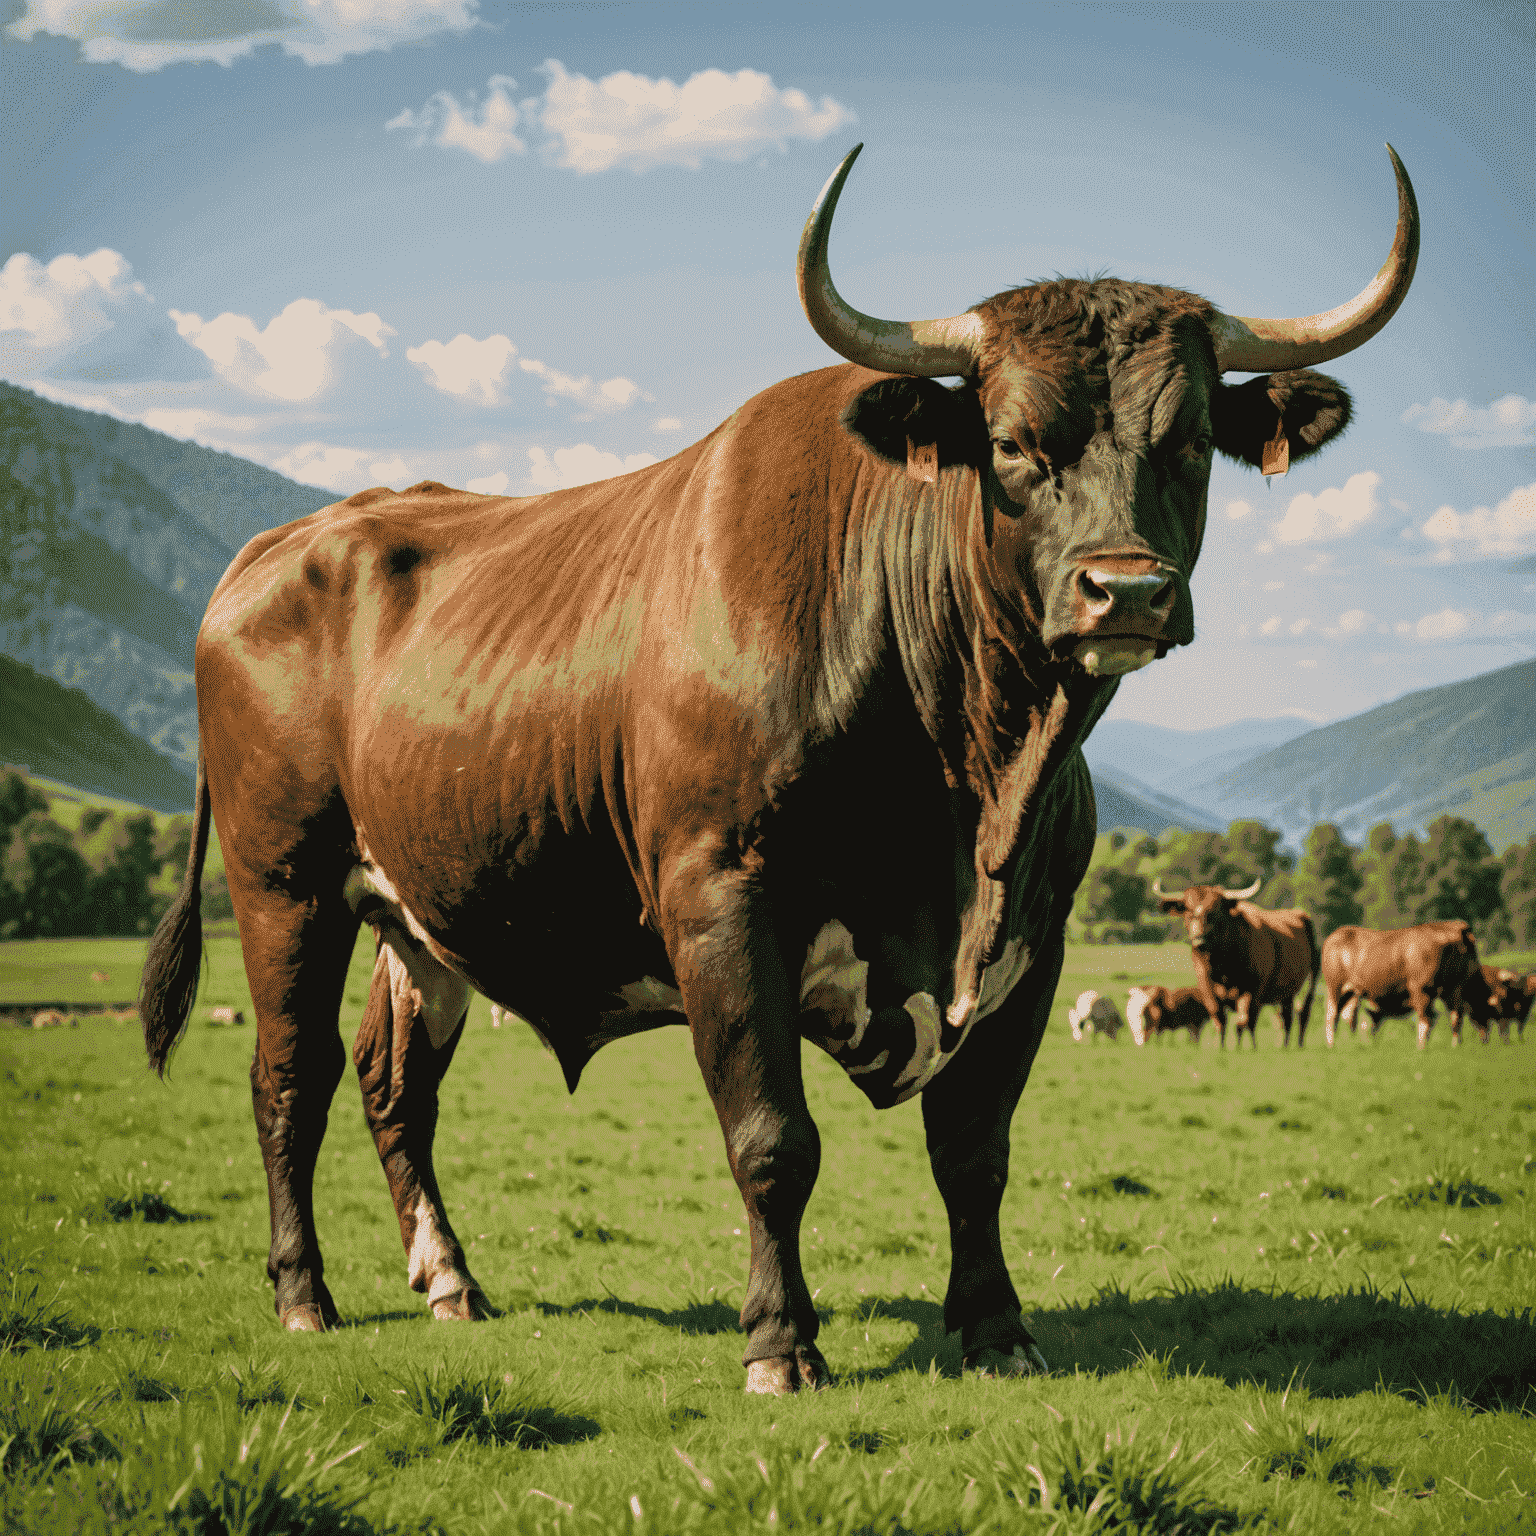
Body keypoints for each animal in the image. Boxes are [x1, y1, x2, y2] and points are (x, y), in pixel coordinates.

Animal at [1155, 884, 1320, 1050]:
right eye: (1188, 911)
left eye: (1214, 912)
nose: (1199, 941)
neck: (1223, 967)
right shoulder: (1207, 988)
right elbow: (1219, 1019)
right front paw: (1220, 1046)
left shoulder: (1252, 990)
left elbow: (1245, 1020)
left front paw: (1248, 1047)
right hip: (1284, 992)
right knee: (1284, 1017)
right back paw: (1282, 1045)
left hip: (1311, 980)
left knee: (1302, 1012)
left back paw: (1298, 1044)